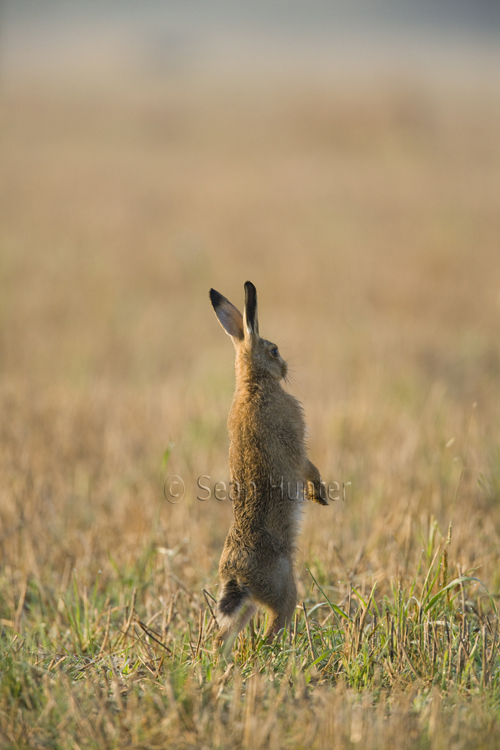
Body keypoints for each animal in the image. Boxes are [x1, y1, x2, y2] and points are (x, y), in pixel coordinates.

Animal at [209, 281, 328, 645]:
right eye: (274, 350)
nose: (285, 366)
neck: (253, 383)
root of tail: (237, 574)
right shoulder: (297, 446)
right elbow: (307, 467)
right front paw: (320, 495)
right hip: (285, 589)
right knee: (273, 629)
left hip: (246, 605)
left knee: (223, 637)